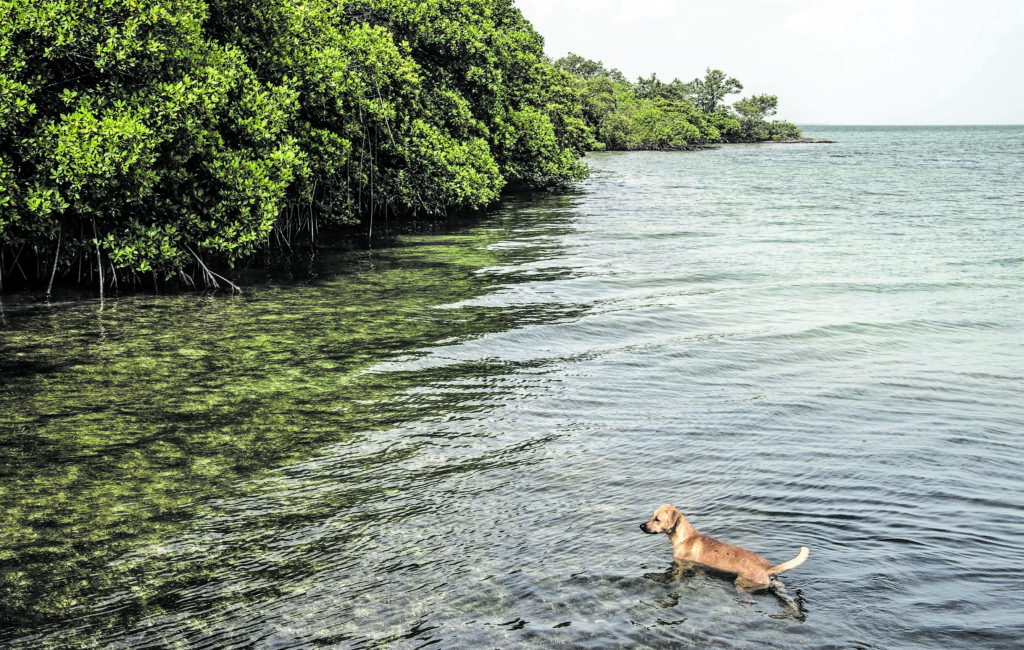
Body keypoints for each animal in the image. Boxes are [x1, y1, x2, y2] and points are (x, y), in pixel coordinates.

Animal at [638, 505, 806, 593]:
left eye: (657, 519)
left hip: (742, 583)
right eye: (652, 516)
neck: (685, 537)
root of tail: (768, 568)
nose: (641, 525)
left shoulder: (681, 566)